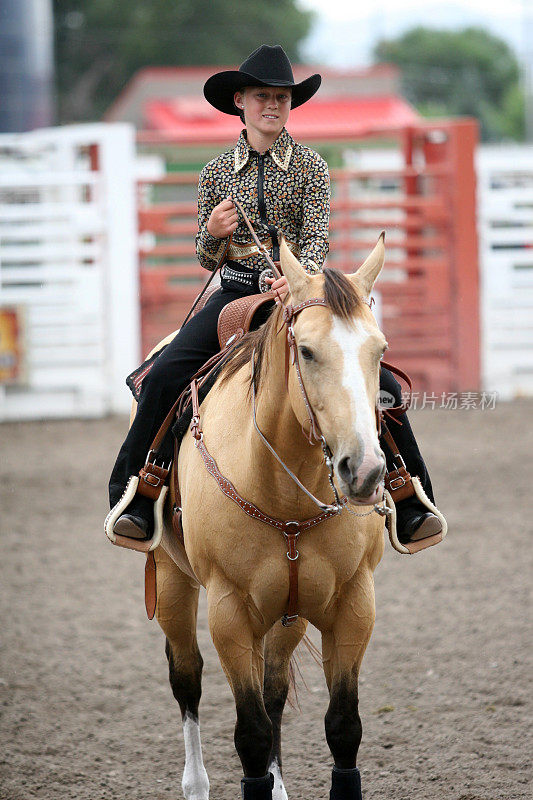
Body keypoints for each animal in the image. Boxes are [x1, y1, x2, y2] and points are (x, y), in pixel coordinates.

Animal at [149, 238, 386, 800]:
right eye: (308, 350)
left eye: (379, 351)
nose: (365, 470)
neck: (285, 496)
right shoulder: (230, 613)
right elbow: (251, 734)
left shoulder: (354, 603)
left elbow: (343, 727)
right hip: (171, 579)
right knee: (186, 676)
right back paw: (195, 784)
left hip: (288, 612)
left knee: (274, 686)